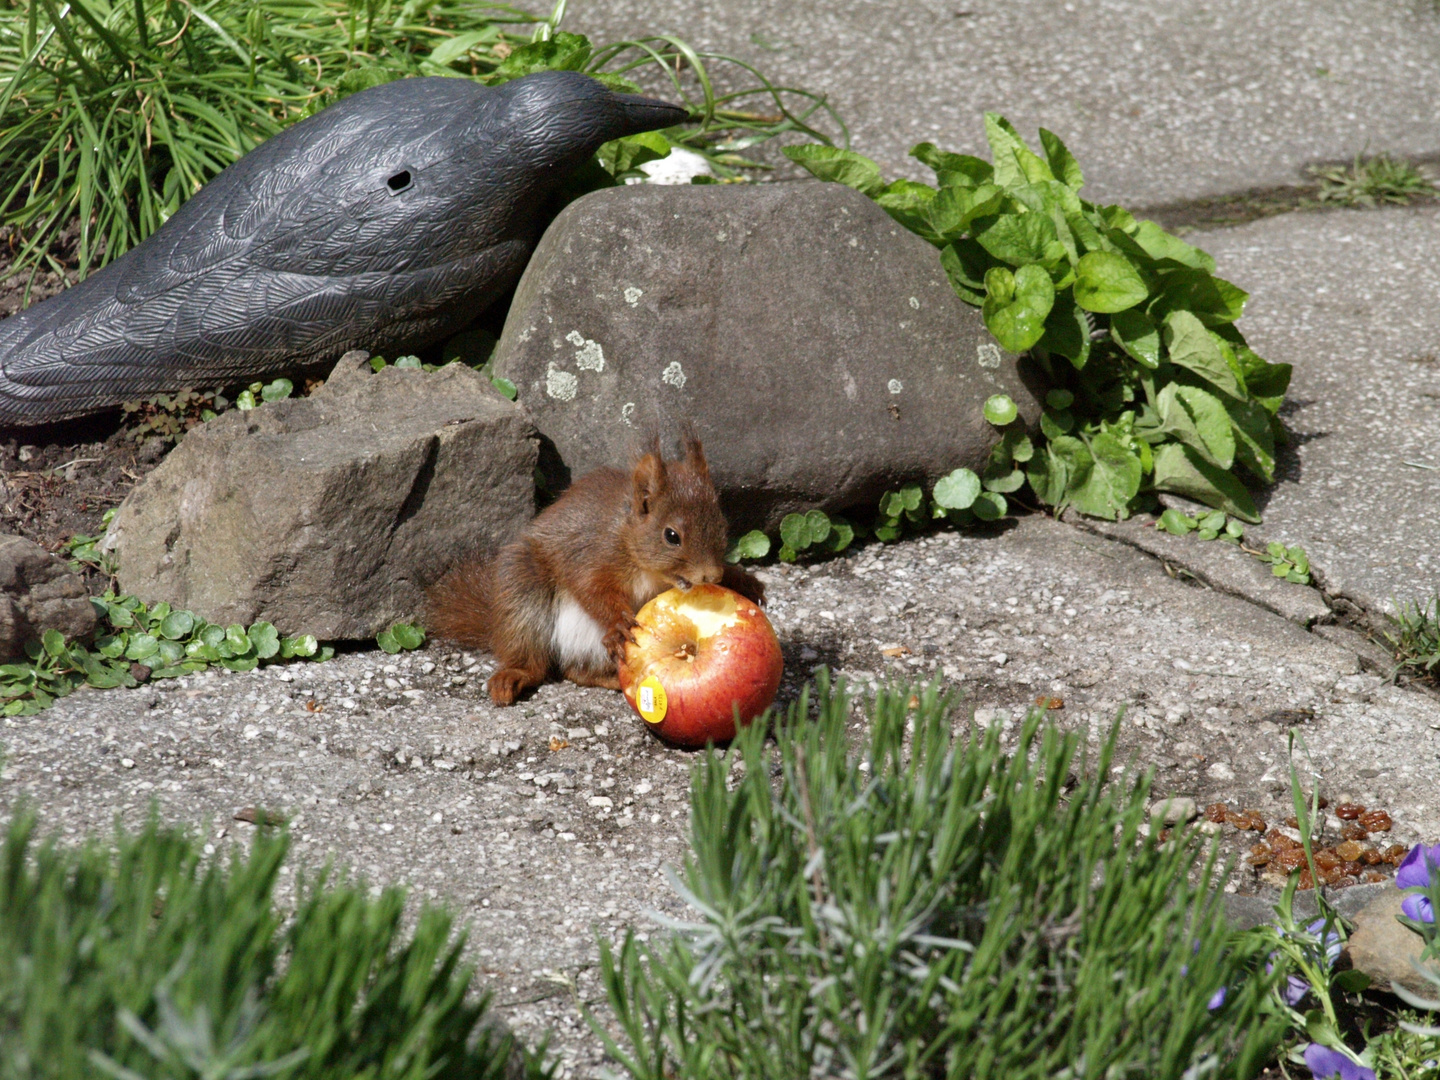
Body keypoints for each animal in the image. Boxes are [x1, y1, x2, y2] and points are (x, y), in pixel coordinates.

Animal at [426, 434, 766, 705]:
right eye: (671, 536)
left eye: (722, 524)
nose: (711, 576)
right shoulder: (592, 554)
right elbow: (591, 588)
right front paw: (618, 623)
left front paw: (745, 582)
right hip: (523, 589)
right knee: (541, 659)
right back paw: (516, 673)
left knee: (577, 671)